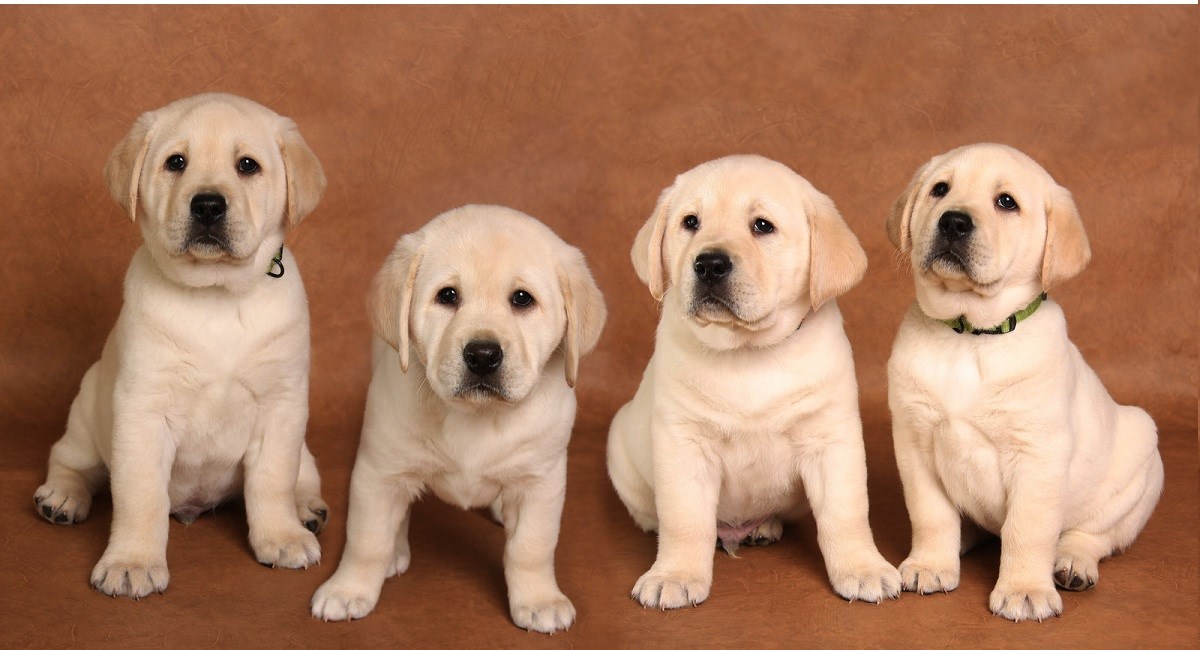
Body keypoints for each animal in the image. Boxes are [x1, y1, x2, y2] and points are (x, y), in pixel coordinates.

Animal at [35, 94, 331, 599]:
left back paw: (306, 509)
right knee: (72, 461)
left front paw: (282, 536)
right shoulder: (143, 410)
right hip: (87, 411)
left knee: (303, 471)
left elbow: (273, 479)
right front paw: (132, 562)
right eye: (176, 162)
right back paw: (62, 497)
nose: (208, 205)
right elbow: (140, 495)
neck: (216, 295)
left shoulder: (282, 404)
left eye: (247, 166)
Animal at [312, 206, 604, 633]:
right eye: (447, 296)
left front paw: (539, 600)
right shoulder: (378, 471)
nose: (483, 355)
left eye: (522, 299)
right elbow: (367, 540)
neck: (476, 417)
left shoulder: (541, 482)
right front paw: (347, 589)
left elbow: (531, 548)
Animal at [604, 157, 897, 611]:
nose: (708, 263)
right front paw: (675, 575)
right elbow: (685, 519)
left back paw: (764, 527)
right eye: (690, 222)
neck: (748, 352)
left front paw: (862, 568)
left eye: (762, 226)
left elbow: (845, 513)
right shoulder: (683, 442)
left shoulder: (831, 439)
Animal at [892, 142, 1161, 623]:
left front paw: (1024, 590)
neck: (971, 335)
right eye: (940, 189)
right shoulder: (915, 443)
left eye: (1006, 202)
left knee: (1094, 535)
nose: (954, 221)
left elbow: (1028, 529)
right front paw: (930, 564)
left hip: (1141, 464)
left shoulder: (1039, 454)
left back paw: (1072, 564)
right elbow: (931, 514)